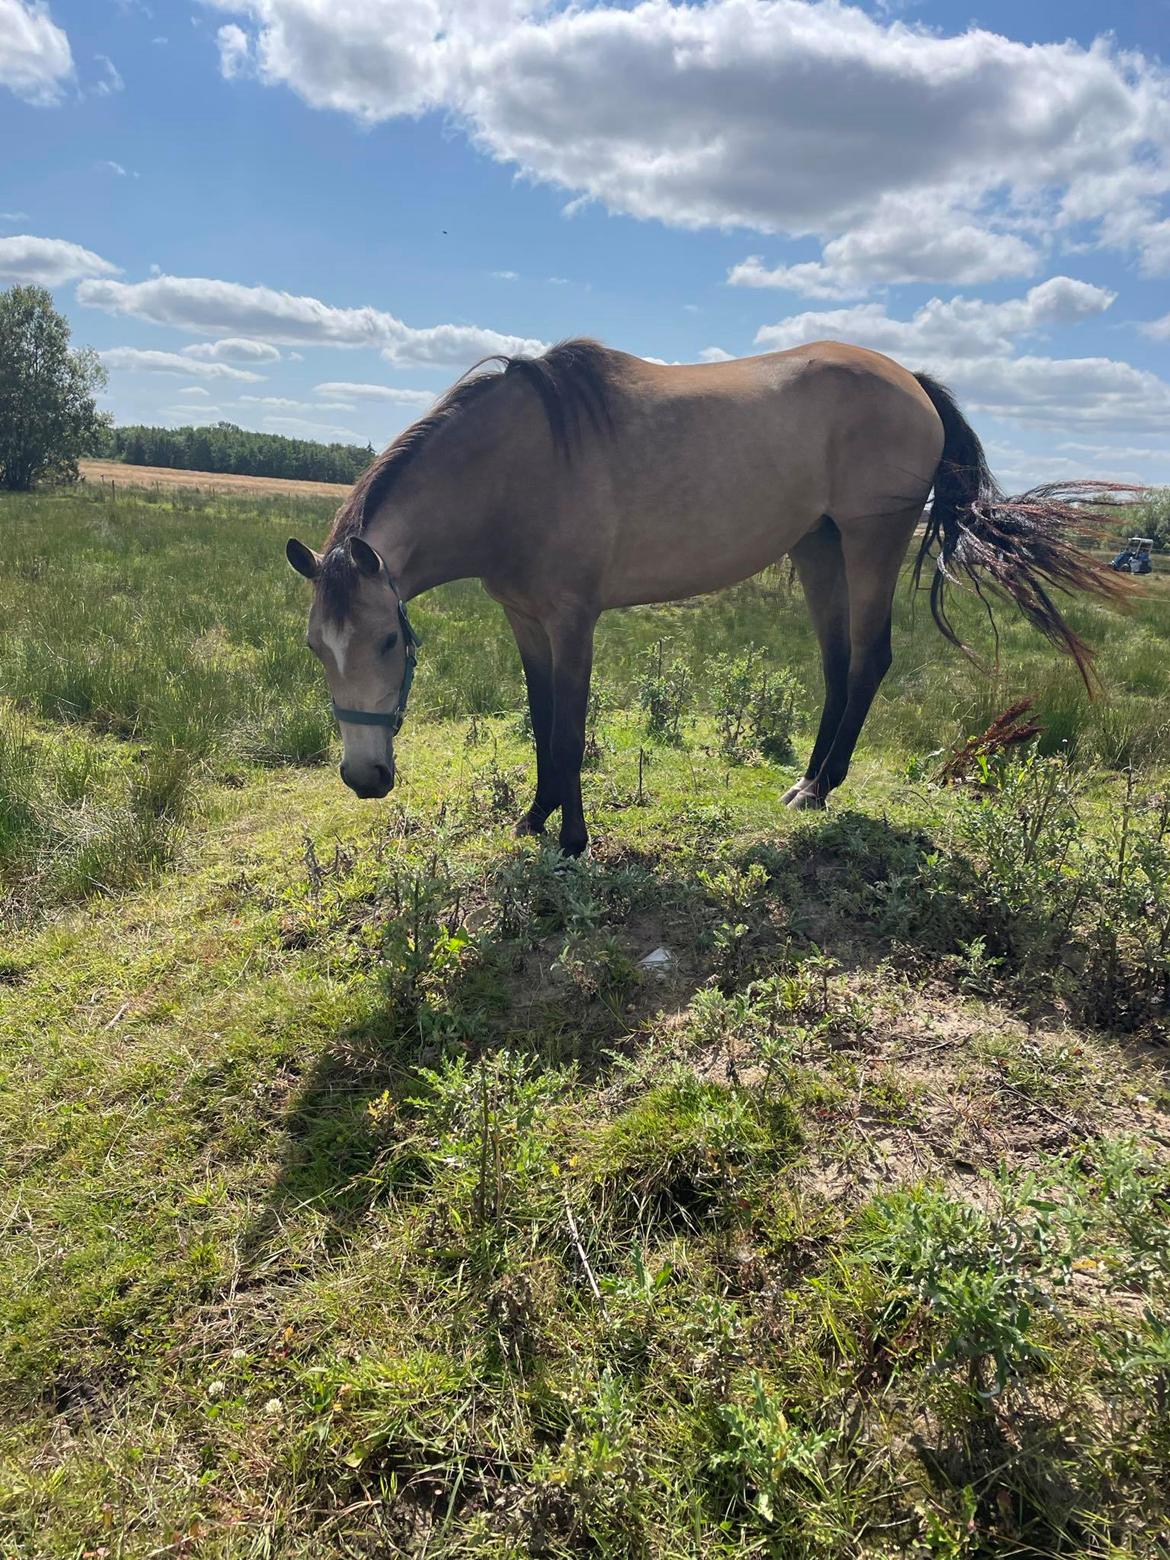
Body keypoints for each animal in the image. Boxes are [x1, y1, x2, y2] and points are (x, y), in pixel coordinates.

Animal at [288, 338, 1141, 854]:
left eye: (388, 641)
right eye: (315, 649)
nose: (364, 778)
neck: (516, 466)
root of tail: (913, 381)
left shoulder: (574, 621)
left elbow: (569, 728)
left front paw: (573, 839)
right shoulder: (524, 618)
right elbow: (540, 719)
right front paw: (535, 816)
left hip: (872, 538)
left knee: (869, 659)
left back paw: (820, 789)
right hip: (820, 547)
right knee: (837, 664)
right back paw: (807, 780)